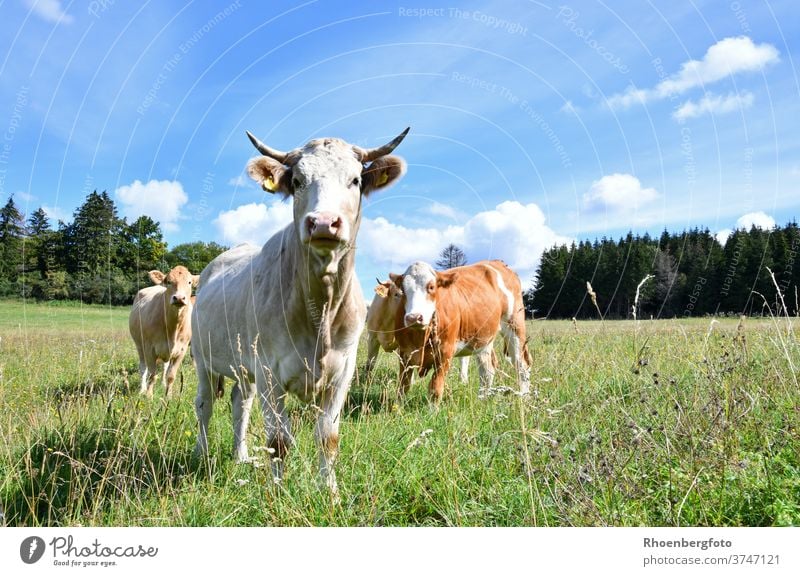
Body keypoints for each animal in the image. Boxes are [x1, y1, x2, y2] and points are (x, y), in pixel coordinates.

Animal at [128, 268, 198, 398]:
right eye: (169, 281)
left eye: (189, 282)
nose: (179, 298)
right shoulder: (149, 348)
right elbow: (152, 375)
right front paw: (149, 396)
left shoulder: (181, 350)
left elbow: (171, 376)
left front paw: (168, 396)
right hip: (139, 345)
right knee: (143, 368)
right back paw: (142, 389)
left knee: (165, 367)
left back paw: (163, 383)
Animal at [191, 127, 410, 496]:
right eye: (296, 181)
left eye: (355, 180)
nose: (323, 223)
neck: (320, 309)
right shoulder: (269, 371)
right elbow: (278, 440)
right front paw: (278, 492)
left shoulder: (343, 371)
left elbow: (327, 437)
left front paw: (330, 490)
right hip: (203, 358)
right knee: (205, 406)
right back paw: (204, 455)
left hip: (244, 365)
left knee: (240, 402)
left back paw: (240, 456)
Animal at [390, 258, 528, 402]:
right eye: (403, 290)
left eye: (431, 287)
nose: (413, 317)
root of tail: (497, 262)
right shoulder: (404, 353)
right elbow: (402, 387)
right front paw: (398, 406)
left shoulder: (445, 352)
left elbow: (435, 388)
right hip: (483, 338)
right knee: (487, 371)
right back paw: (482, 399)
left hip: (515, 325)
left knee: (521, 365)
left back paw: (524, 397)